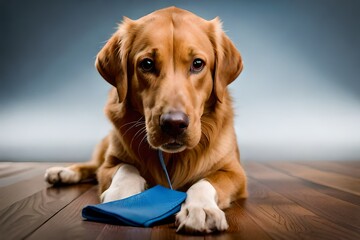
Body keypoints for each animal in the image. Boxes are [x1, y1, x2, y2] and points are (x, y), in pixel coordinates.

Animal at [45, 6, 248, 233]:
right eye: (147, 64)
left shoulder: (235, 173)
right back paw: (63, 172)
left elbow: (206, 181)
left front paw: (200, 208)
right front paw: (121, 197)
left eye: (197, 64)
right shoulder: (111, 163)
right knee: (93, 165)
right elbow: (126, 168)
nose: (174, 124)